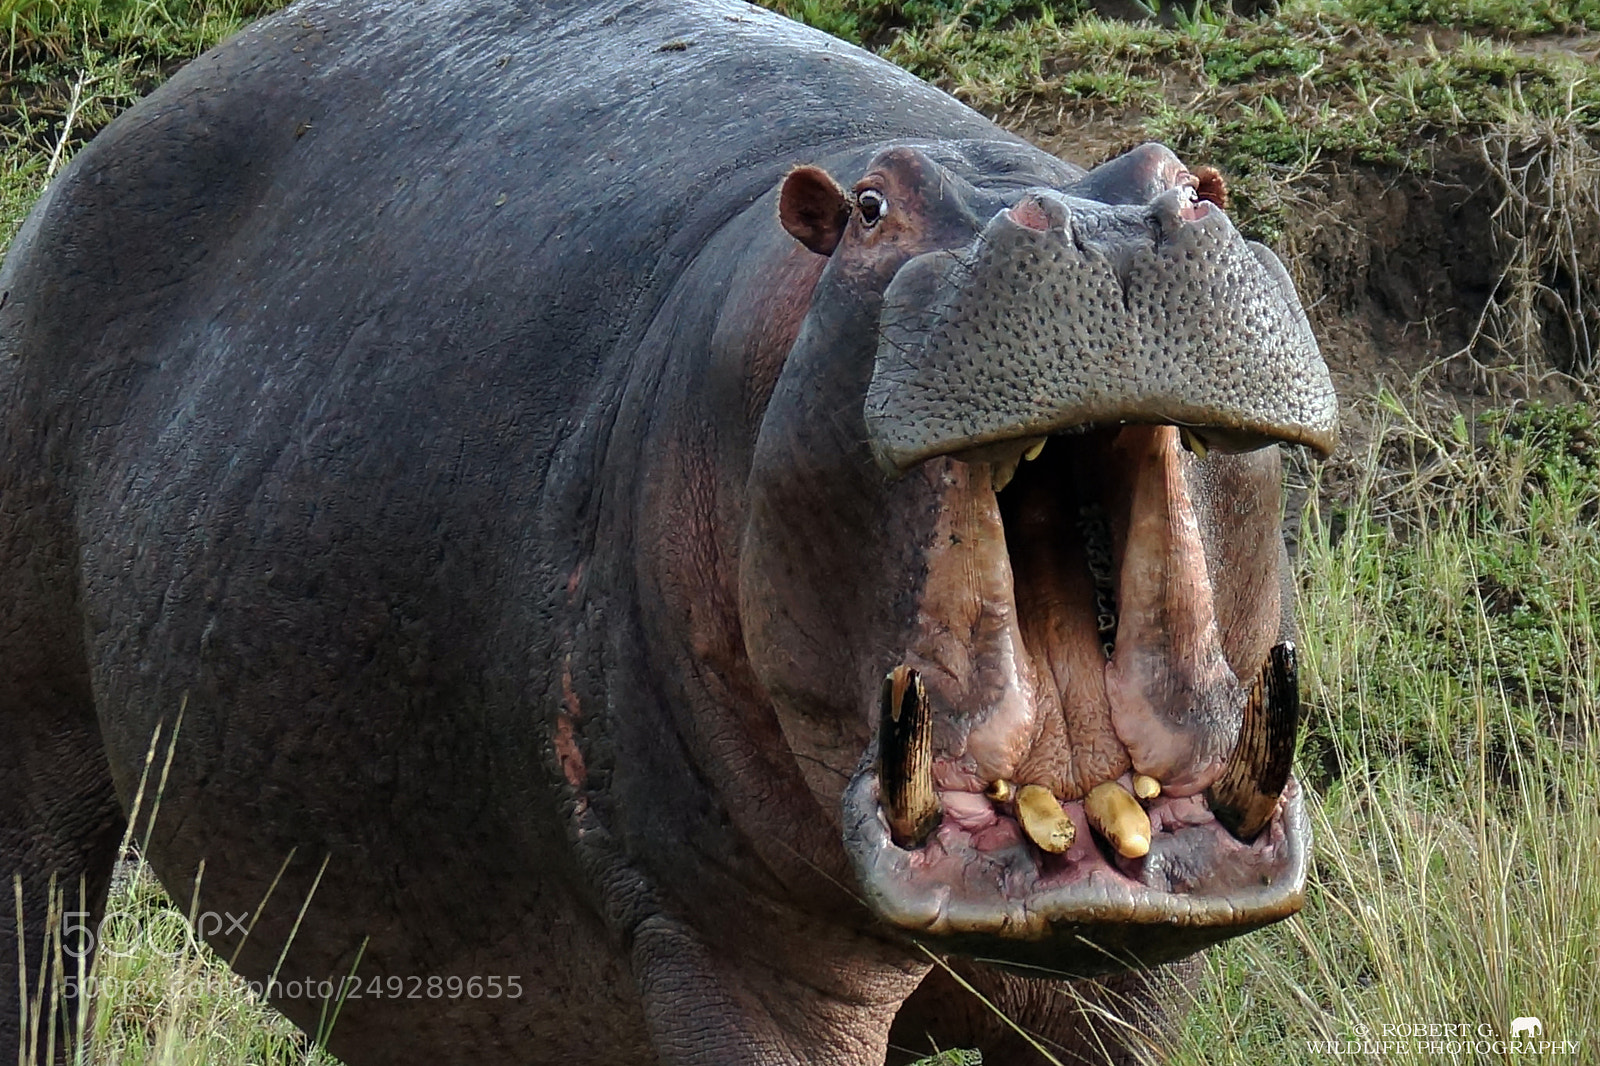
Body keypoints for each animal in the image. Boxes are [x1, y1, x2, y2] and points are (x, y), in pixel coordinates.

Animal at [0, 0, 1336, 1062]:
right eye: (869, 207)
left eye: (1191, 183)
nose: (1102, 228)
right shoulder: (730, 956)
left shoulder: (1126, 995)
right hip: (41, 761)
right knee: (41, 947)